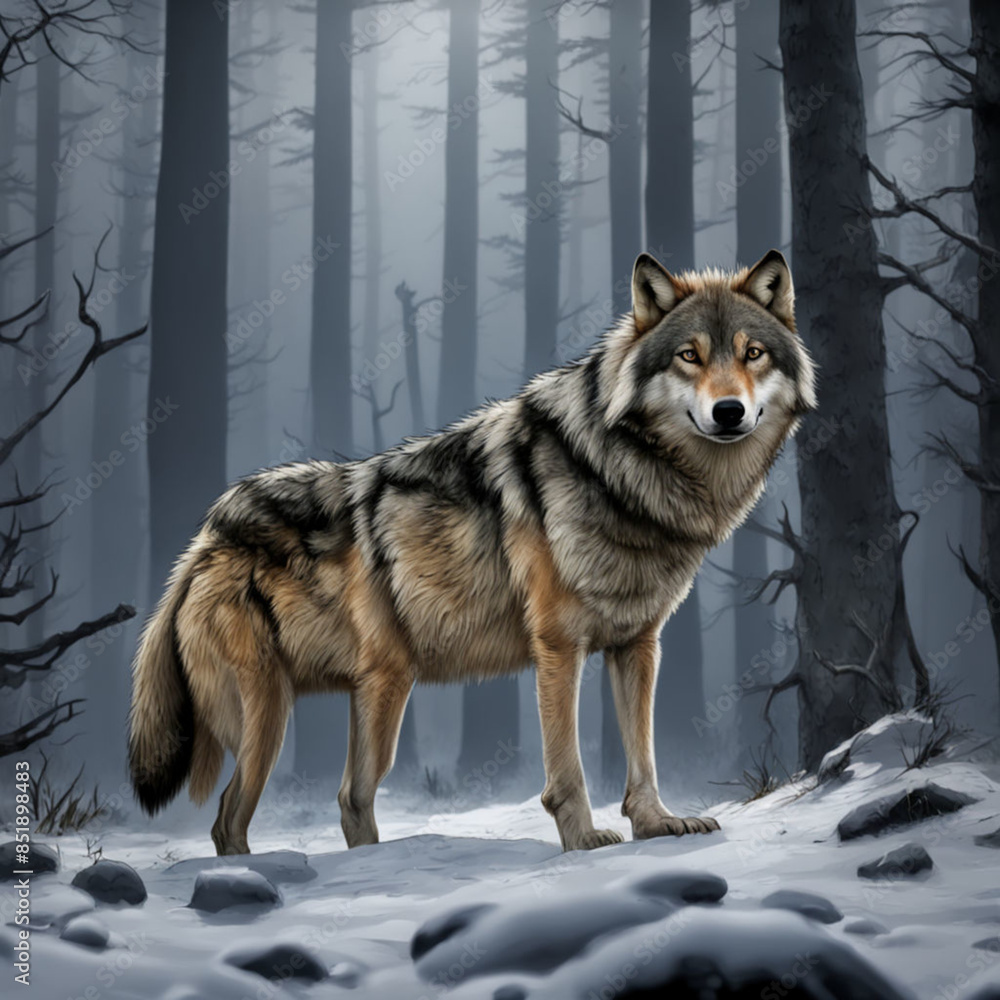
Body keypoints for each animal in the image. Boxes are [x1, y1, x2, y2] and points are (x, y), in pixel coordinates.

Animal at [129, 249, 816, 856]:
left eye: (752, 353)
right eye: (688, 356)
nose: (728, 411)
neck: (620, 476)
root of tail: (203, 541)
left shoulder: (638, 644)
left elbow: (642, 757)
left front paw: (656, 825)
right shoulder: (558, 647)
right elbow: (567, 771)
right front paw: (583, 842)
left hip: (375, 696)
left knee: (347, 798)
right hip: (279, 716)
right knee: (232, 819)